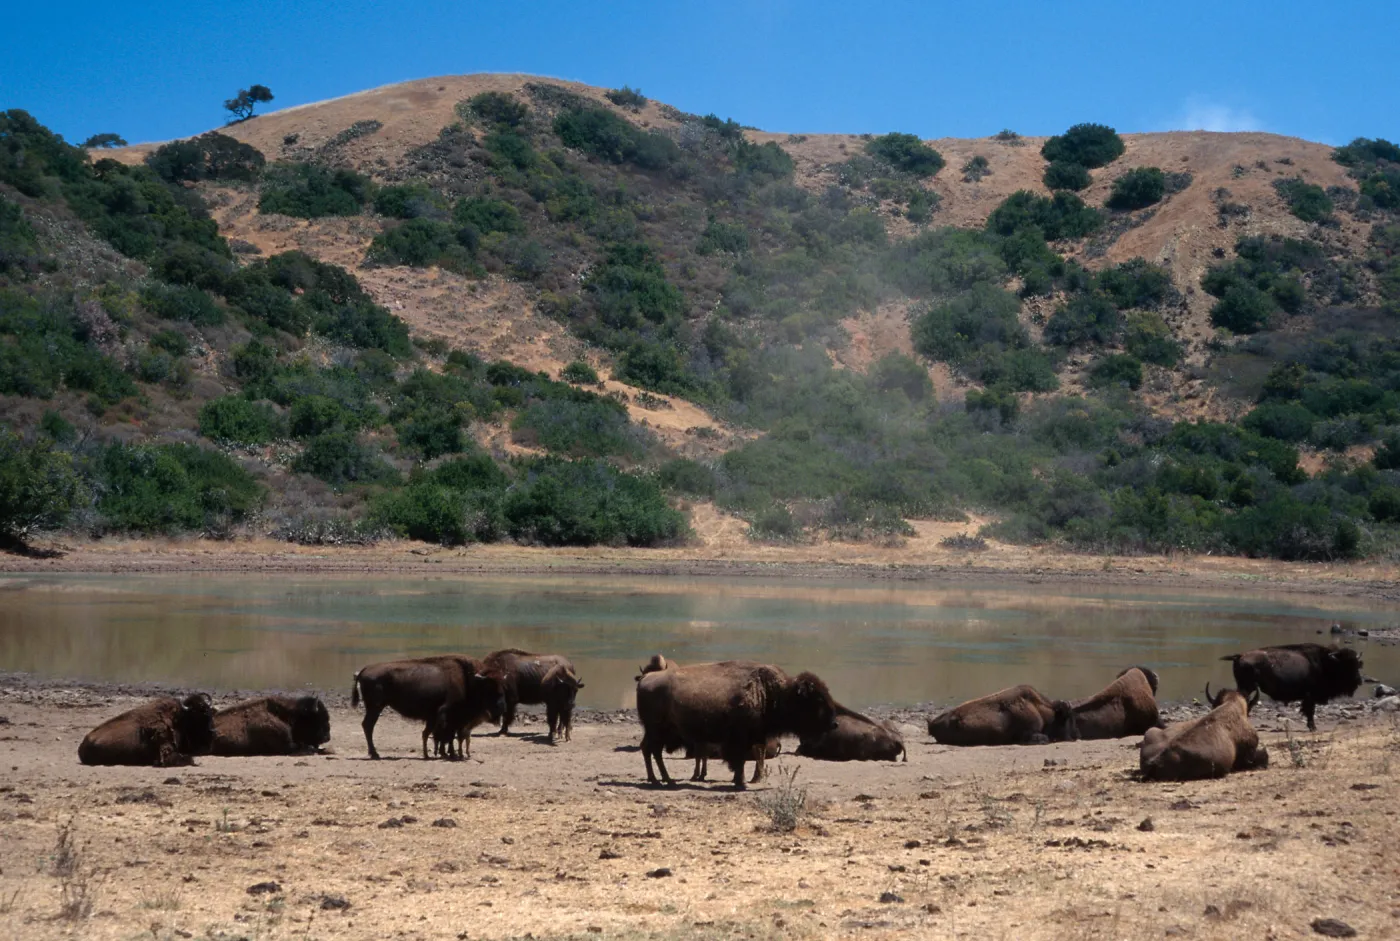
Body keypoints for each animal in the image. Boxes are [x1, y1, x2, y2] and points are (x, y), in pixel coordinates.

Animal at [351, 656, 505, 760]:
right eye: (490, 685)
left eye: (502, 684)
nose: (502, 707)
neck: (468, 680)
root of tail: (364, 670)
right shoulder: (447, 714)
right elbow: (446, 734)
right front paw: (447, 753)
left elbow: (449, 735)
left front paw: (449, 753)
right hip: (375, 708)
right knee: (368, 726)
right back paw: (375, 753)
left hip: (375, 708)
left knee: (367, 725)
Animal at [636, 660, 837, 790]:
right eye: (817, 699)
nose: (834, 724)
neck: (772, 692)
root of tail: (645, 680)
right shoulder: (740, 739)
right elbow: (739, 761)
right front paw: (741, 782)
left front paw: (739, 780)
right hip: (657, 731)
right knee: (651, 750)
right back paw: (659, 780)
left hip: (657, 732)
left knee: (650, 750)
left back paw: (662, 779)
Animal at [1221, 643, 1366, 731]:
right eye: (1346, 665)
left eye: (1357, 664)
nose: (1359, 681)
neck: (1325, 662)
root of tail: (1240, 655)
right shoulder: (1310, 696)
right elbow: (1310, 711)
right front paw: (1313, 727)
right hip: (1247, 687)